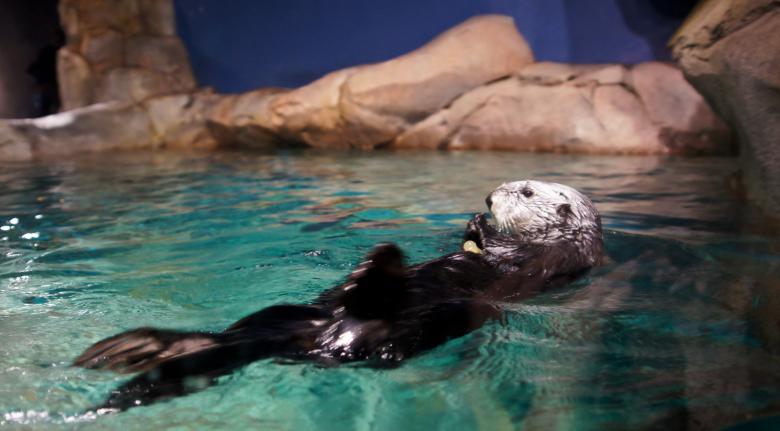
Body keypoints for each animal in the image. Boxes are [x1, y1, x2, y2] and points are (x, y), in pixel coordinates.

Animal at [73, 180, 603, 411]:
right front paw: (470, 227)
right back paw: (139, 347)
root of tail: (320, 340)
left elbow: (507, 259)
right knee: (226, 338)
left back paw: (376, 273)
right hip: (283, 315)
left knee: (379, 332)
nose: (490, 198)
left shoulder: (548, 260)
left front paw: (482, 230)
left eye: (526, 191)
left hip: (417, 328)